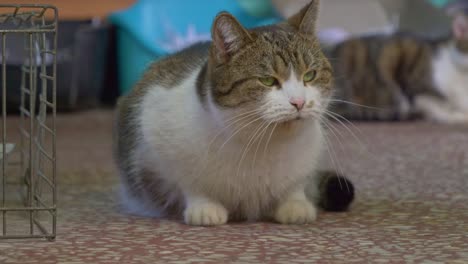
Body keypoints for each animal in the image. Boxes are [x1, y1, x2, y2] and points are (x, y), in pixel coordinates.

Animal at [115, 0, 352, 227]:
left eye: (310, 75)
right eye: (268, 80)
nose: (299, 102)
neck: (262, 143)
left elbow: (295, 186)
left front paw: (295, 203)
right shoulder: (155, 132)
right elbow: (189, 183)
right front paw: (204, 206)